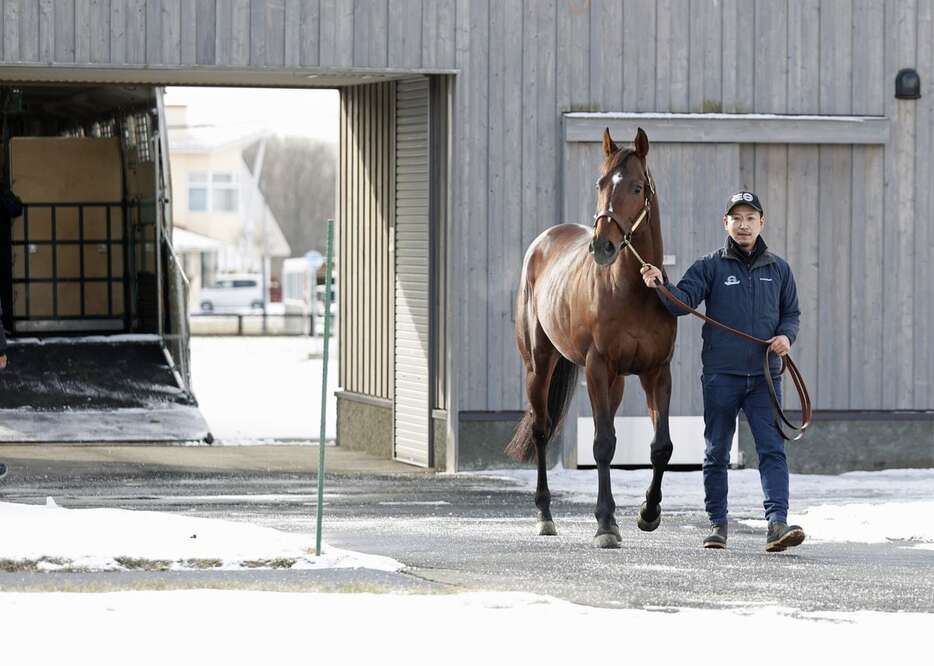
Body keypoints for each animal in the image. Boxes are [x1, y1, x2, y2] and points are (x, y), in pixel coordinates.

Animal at [508, 128, 676, 544]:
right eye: (600, 183)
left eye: (636, 187)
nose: (602, 246)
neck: (634, 290)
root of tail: (545, 240)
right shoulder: (598, 368)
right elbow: (602, 445)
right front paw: (605, 524)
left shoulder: (657, 372)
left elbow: (661, 446)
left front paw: (648, 513)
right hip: (539, 366)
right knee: (542, 430)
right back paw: (544, 515)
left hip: (616, 382)